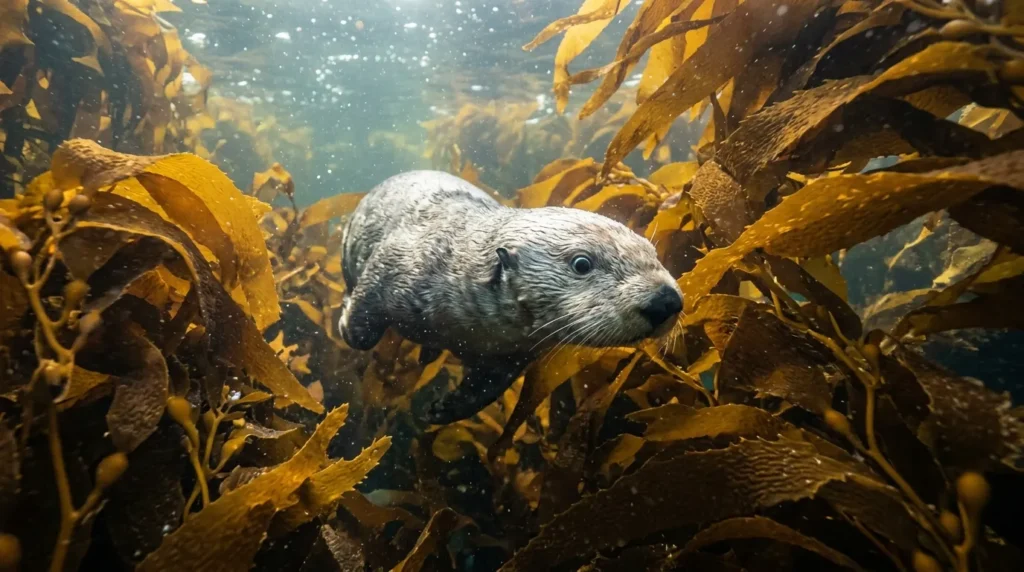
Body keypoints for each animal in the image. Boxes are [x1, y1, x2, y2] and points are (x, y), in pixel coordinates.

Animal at [339, 170, 682, 424]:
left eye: (653, 254)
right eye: (582, 263)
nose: (666, 300)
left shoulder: (510, 357)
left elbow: (483, 390)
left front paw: (441, 410)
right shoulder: (398, 259)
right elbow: (364, 314)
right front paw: (347, 325)